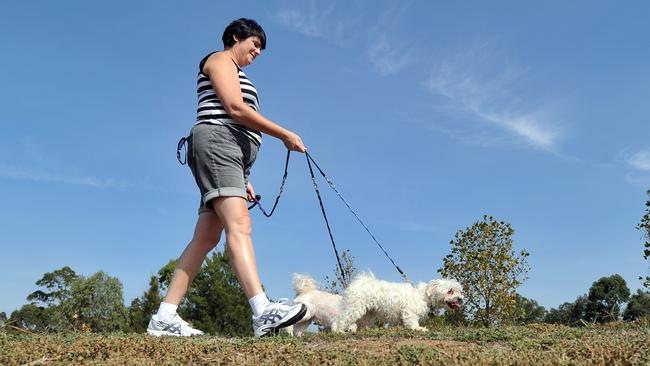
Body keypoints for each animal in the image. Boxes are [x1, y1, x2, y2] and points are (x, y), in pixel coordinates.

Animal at [332, 274, 464, 334]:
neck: (424, 296)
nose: (460, 299)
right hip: (355, 307)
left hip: (368, 313)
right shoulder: (410, 311)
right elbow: (412, 321)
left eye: (459, 291)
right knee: (340, 320)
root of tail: (359, 282)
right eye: (450, 291)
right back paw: (338, 331)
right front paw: (418, 328)